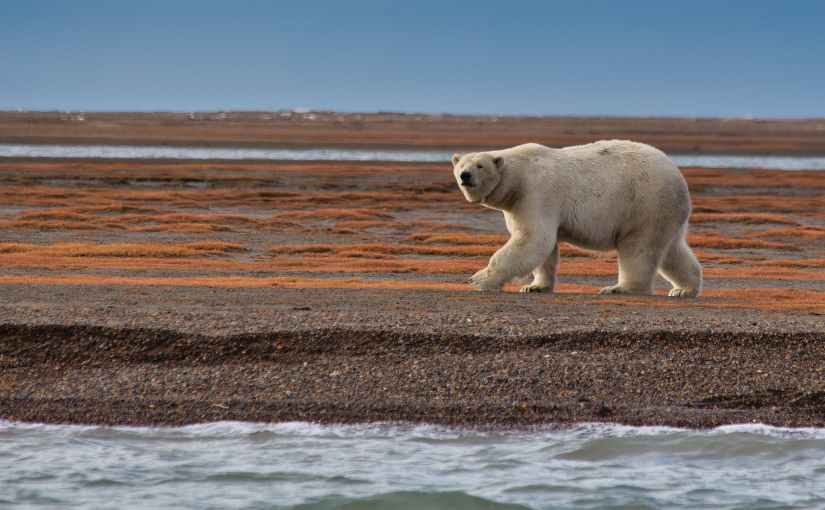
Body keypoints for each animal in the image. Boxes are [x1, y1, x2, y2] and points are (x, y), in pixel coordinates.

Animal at [451, 140, 702, 297]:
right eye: (461, 164)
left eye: (480, 165)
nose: (465, 175)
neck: (517, 177)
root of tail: (678, 177)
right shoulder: (518, 203)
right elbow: (544, 247)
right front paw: (535, 287)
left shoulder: (536, 192)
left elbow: (532, 239)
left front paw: (478, 280)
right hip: (665, 212)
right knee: (672, 250)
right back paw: (684, 289)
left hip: (645, 203)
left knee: (639, 248)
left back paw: (619, 288)